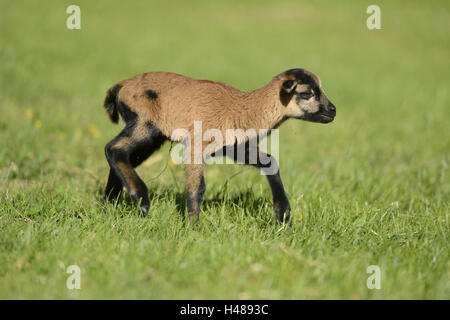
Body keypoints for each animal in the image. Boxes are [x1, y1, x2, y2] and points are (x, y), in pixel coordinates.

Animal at [102, 68, 334, 225]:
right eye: (306, 93)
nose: (333, 111)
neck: (242, 109)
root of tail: (119, 87)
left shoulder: (235, 147)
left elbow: (271, 162)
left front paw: (283, 217)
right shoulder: (196, 144)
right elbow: (197, 187)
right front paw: (193, 227)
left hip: (152, 135)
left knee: (121, 155)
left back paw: (108, 204)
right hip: (144, 124)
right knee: (113, 149)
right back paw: (141, 201)